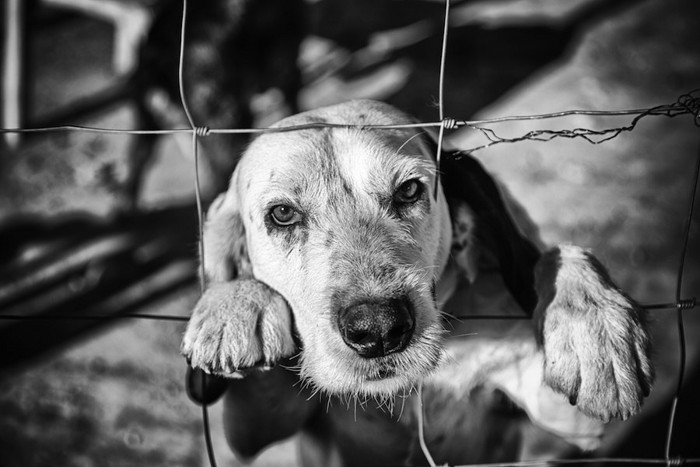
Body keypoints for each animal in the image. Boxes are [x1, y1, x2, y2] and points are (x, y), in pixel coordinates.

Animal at [182, 100, 656, 466]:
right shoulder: (250, 430)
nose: (378, 330)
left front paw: (593, 325)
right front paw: (234, 303)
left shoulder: (572, 423)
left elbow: (557, 254)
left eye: (409, 190)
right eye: (282, 214)